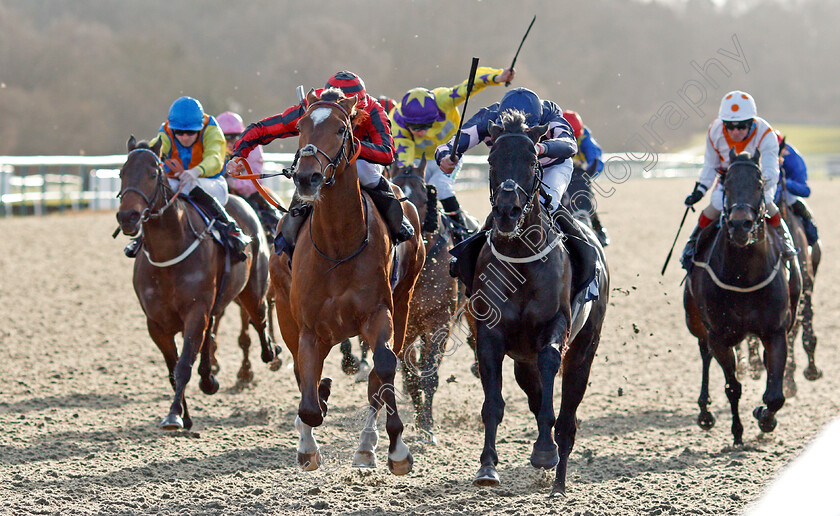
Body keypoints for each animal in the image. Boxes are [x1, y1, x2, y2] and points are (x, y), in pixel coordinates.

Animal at [115, 135, 278, 430]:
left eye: (153, 173)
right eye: (122, 173)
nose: (128, 217)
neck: (168, 254)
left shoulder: (195, 311)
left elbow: (182, 366)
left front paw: (173, 414)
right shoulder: (156, 324)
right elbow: (173, 369)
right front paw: (183, 414)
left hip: (252, 289)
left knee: (259, 318)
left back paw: (271, 353)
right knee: (212, 332)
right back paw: (209, 377)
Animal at [268, 87, 426, 472]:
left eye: (342, 129)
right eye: (300, 127)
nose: (306, 177)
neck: (338, 245)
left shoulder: (378, 313)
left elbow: (383, 368)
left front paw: (397, 449)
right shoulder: (308, 327)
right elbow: (309, 398)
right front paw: (308, 446)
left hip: (404, 303)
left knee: (379, 375)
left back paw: (367, 447)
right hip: (286, 311)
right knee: (303, 373)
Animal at [466, 111, 612, 494]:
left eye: (533, 160)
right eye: (491, 160)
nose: (507, 211)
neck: (521, 257)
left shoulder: (555, 326)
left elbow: (550, 374)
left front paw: (545, 452)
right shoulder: (490, 334)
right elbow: (493, 402)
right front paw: (487, 466)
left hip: (585, 348)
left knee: (568, 416)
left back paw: (558, 480)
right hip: (522, 361)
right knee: (535, 396)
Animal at [684, 148, 800, 444]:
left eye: (759, 184)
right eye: (726, 184)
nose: (740, 225)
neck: (744, 277)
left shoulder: (775, 331)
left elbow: (775, 395)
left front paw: (765, 417)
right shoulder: (719, 335)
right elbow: (732, 386)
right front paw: (737, 432)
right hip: (696, 321)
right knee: (704, 353)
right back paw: (705, 411)